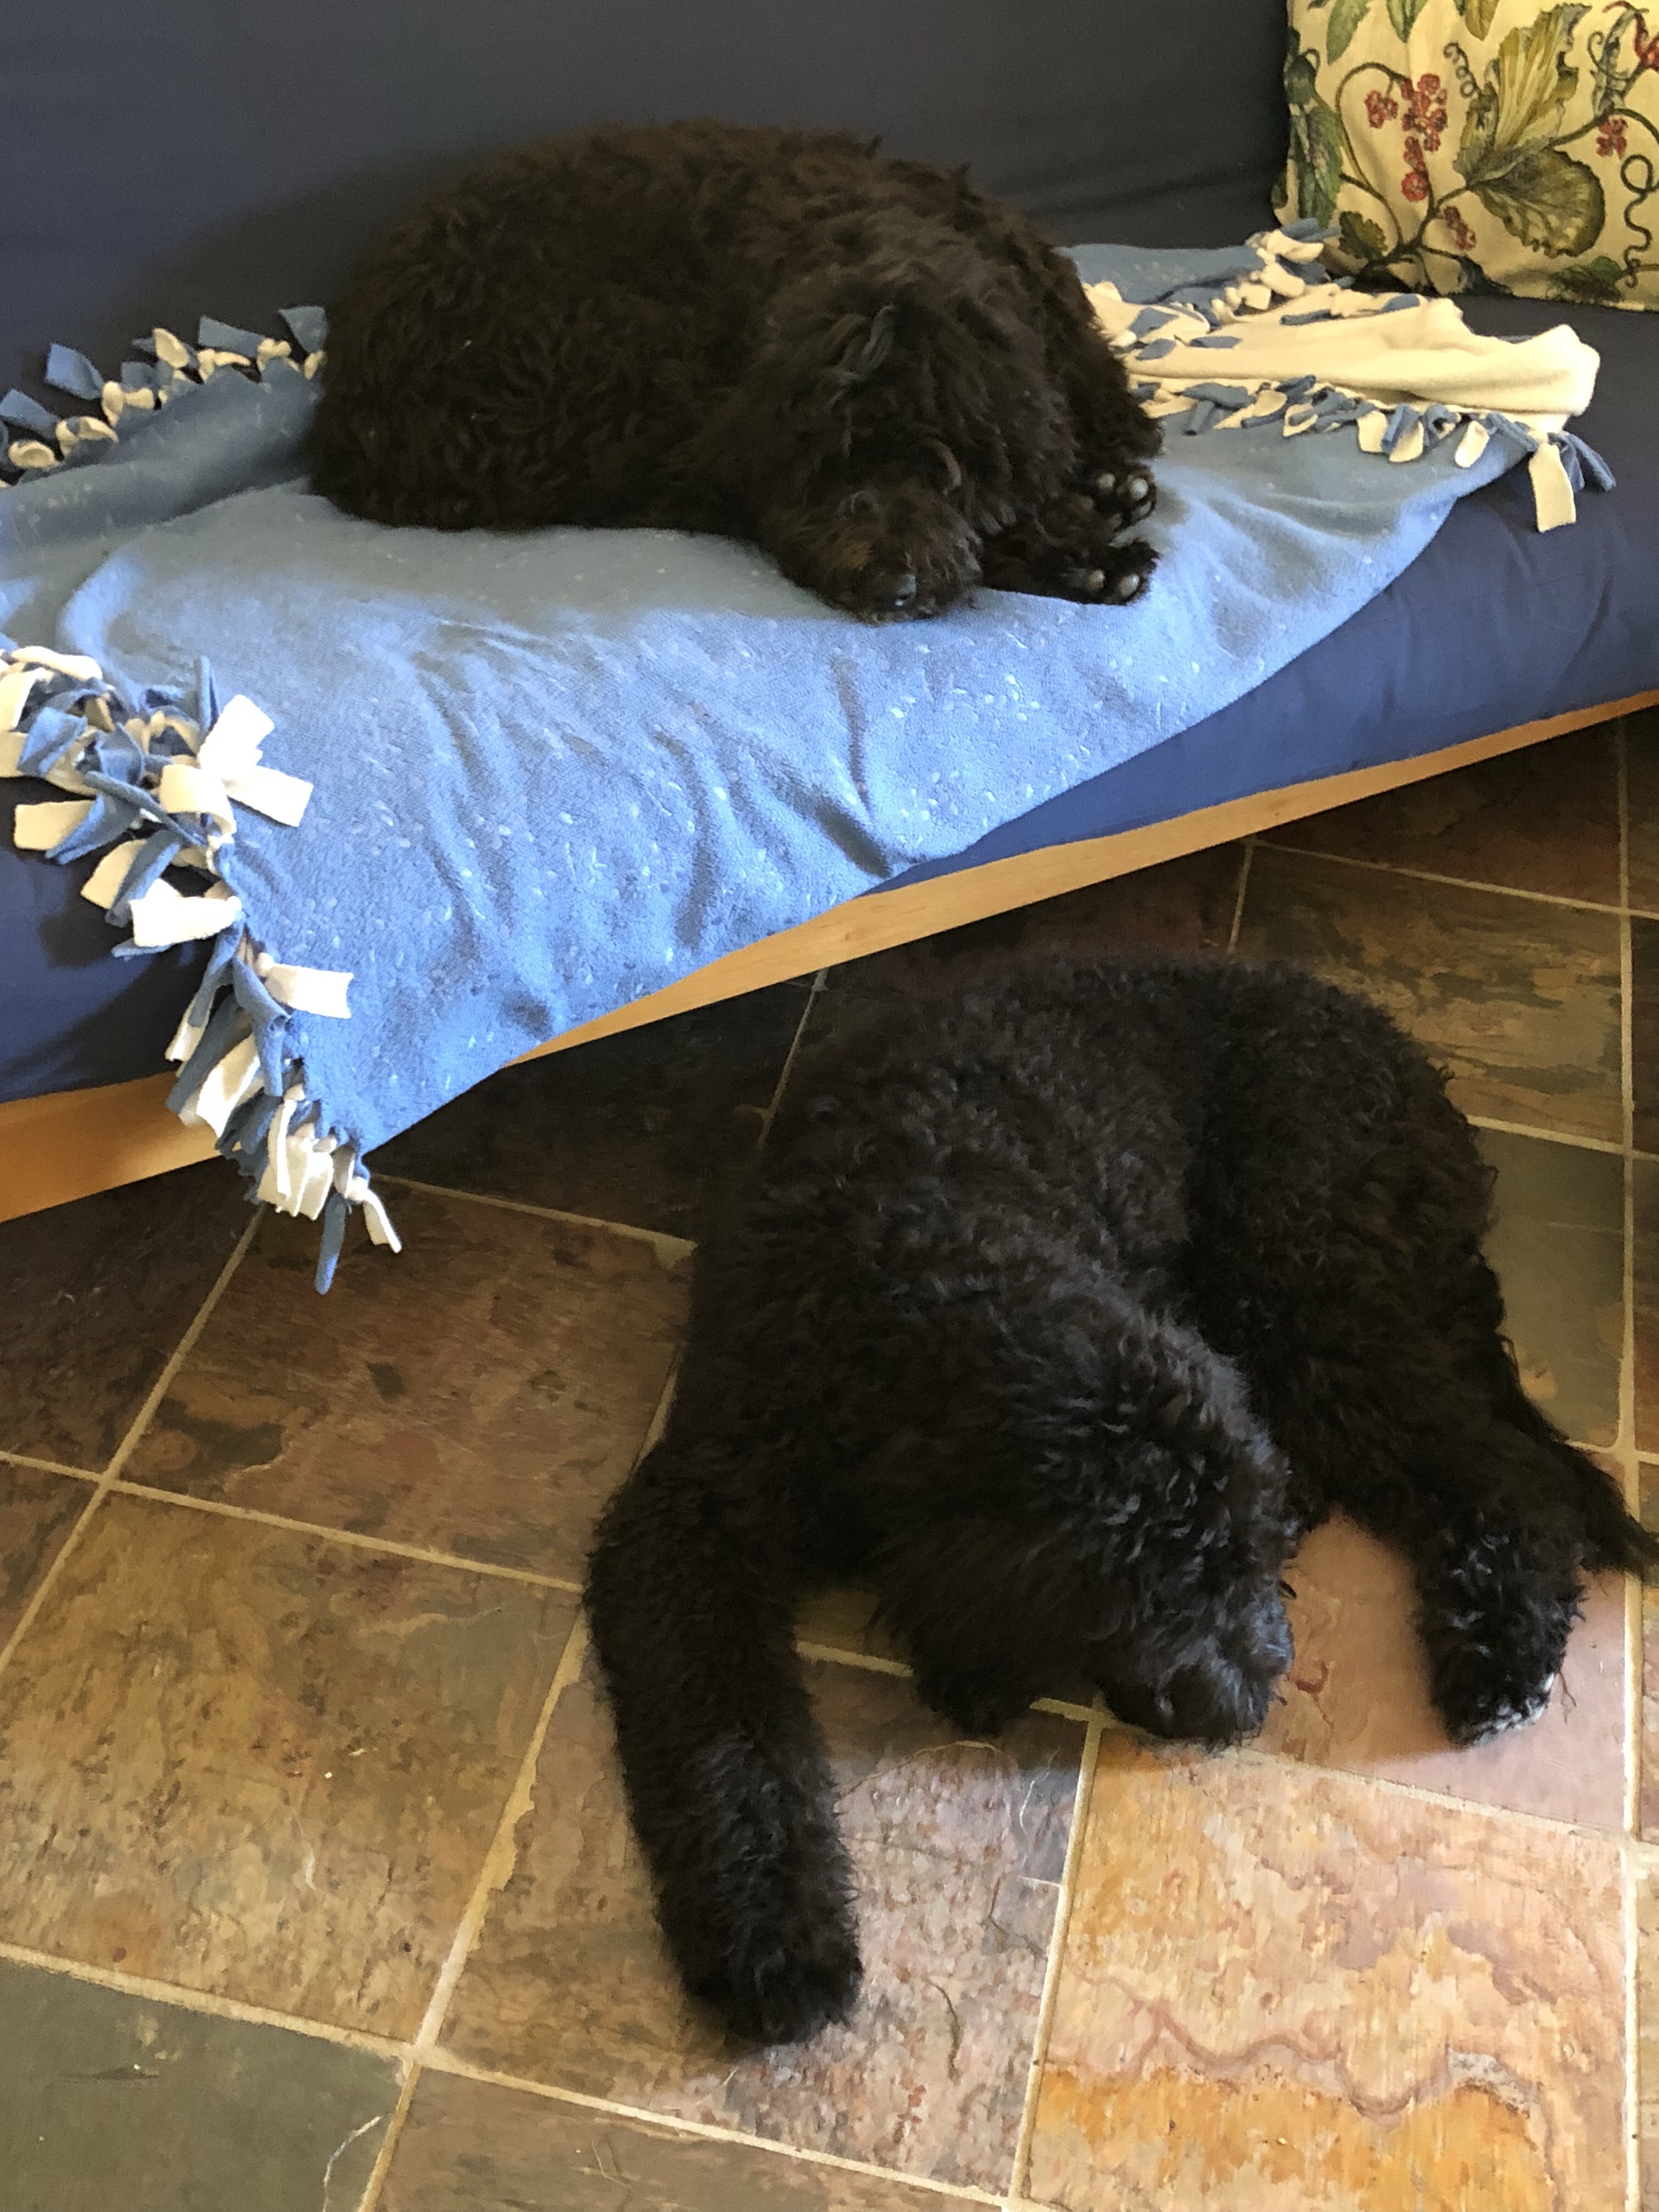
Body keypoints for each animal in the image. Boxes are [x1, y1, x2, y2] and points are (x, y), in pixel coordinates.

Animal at [584, 954, 1655, 2045]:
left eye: (1240, 1566)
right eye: (1157, 1600)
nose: (1253, 1703)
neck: (903, 1288)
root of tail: (1391, 1046)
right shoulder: (693, 1519)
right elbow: (728, 1749)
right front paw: (778, 1944)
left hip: (1307, 1285)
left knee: (1506, 1475)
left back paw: (1501, 1662)